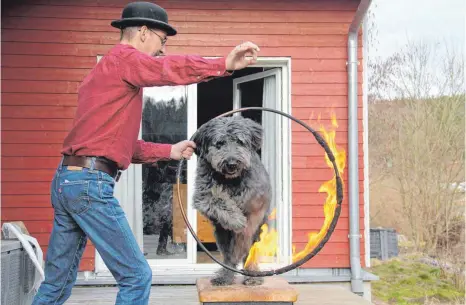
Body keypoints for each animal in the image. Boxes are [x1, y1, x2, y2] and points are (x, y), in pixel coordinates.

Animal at [191, 115, 272, 286]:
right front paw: (236, 220)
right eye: (219, 143)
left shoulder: (257, 198)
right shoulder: (203, 194)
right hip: (221, 236)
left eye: (240, 142)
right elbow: (218, 200)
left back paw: (252, 275)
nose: (231, 163)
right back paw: (225, 276)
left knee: (248, 252)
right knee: (229, 258)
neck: (231, 181)